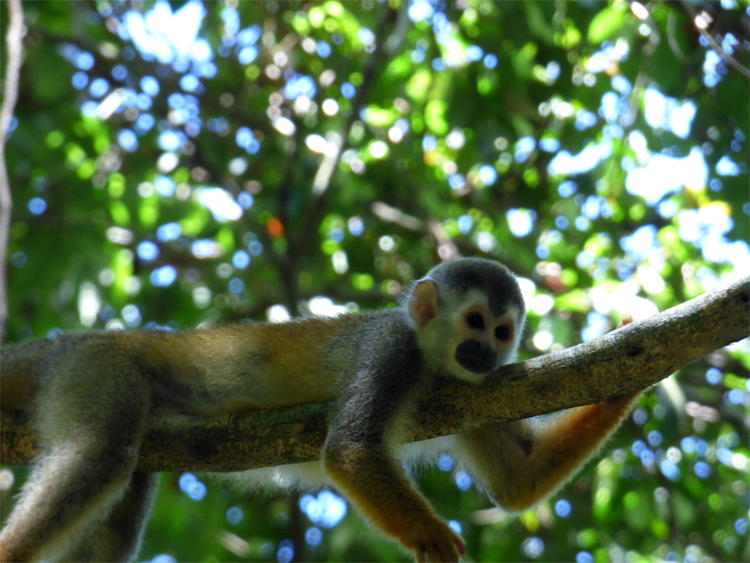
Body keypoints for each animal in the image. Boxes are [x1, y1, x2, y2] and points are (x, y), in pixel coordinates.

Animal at [0, 257, 639, 562]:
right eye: (476, 322)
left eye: (504, 332)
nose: (486, 351)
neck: (432, 363)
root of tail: (72, 341)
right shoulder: (391, 352)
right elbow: (351, 450)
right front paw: (430, 534)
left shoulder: (479, 392)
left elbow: (517, 482)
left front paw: (626, 380)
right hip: (97, 372)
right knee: (101, 454)